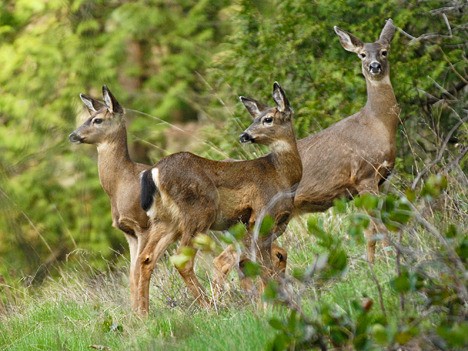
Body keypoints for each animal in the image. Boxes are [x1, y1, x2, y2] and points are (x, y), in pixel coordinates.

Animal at [137, 82, 302, 314]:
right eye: (256, 118)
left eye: (267, 119)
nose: (244, 135)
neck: (282, 175)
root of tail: (153, 172)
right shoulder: (260, 215)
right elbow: (263, 264)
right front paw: (273, 306)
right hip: (198, 213)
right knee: (181, 259)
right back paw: (209, 307)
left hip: (166, 220)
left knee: (146, 258)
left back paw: (143, 314)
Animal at [214, 20, 400, 286]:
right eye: (362, 54)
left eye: (384, 51)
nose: (374, 66)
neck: (378, 124)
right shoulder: (364, 175)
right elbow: (379, 225)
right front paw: (390, 261)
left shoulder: (378, 180)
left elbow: (370, 229)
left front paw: (373, 265)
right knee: (224, 260)